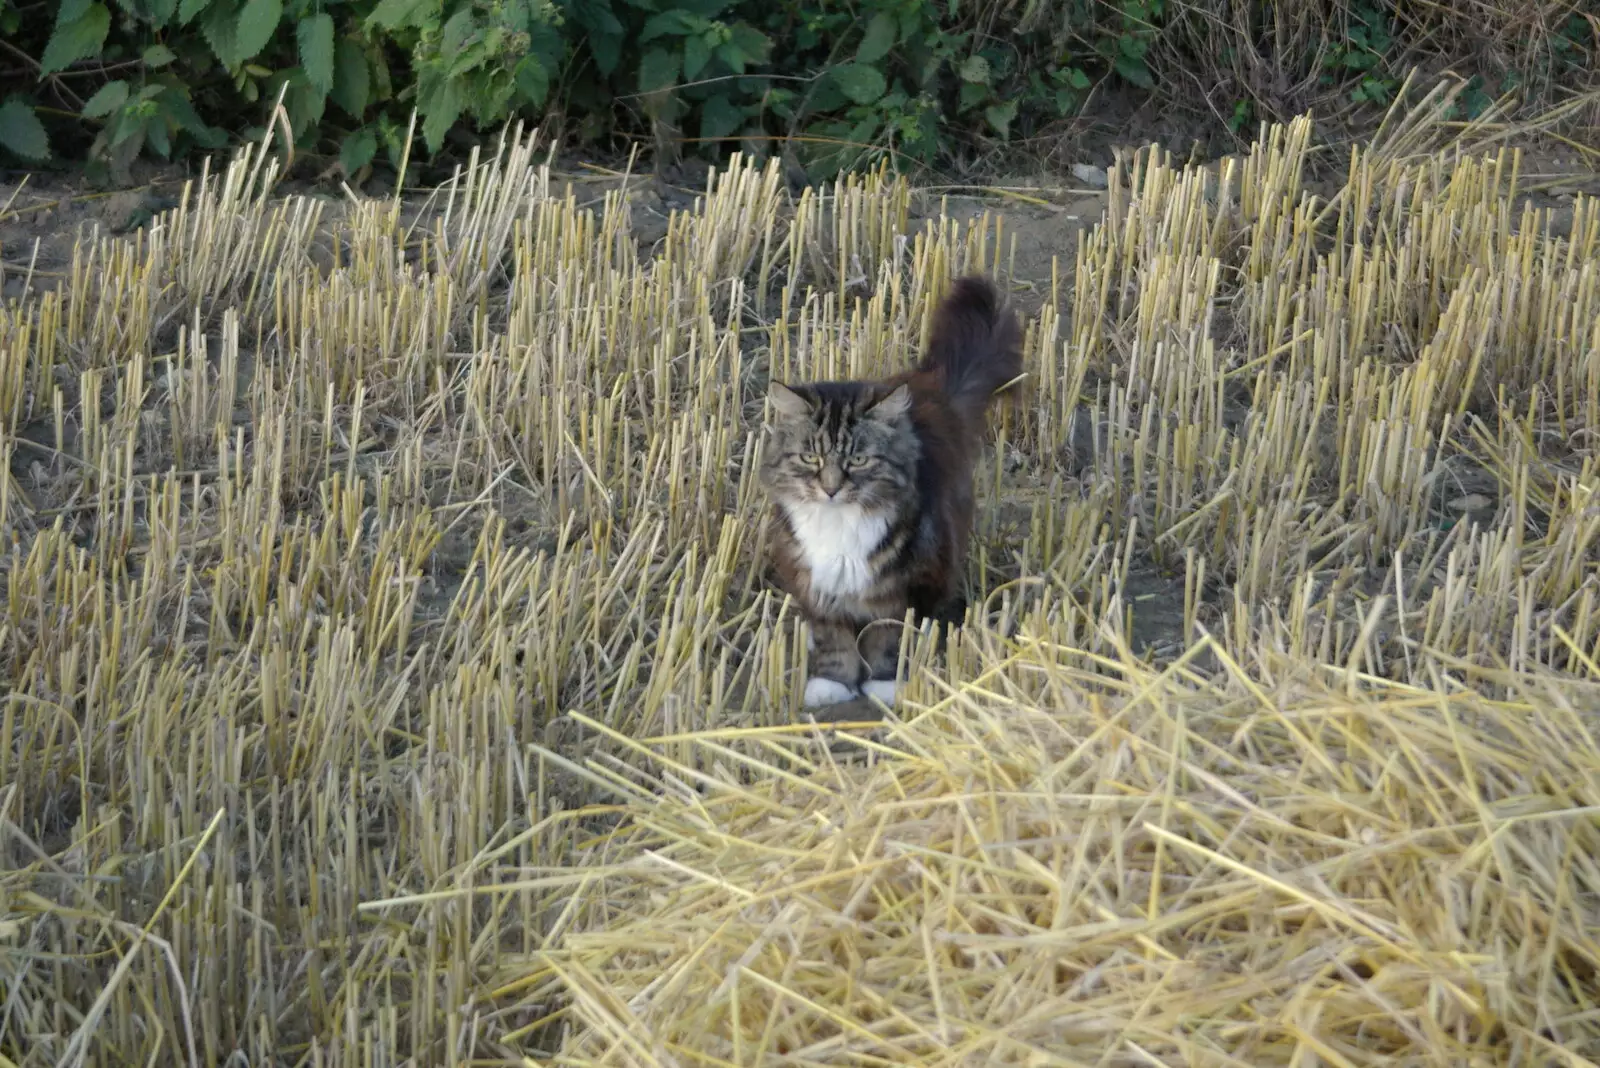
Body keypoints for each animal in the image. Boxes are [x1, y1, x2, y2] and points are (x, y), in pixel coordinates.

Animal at [758, 274, 1024, 709]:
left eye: (858, 460)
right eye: (811, 457)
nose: (830, 489)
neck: (839, 525)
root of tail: (929, 385)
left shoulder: (901, 586)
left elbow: (887, 638)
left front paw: (884, 684)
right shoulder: (819, 582)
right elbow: (834, 639)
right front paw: (831, 685)